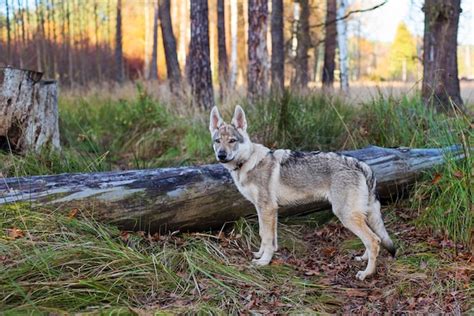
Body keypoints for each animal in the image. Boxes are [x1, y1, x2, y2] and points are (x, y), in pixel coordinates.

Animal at [211, 107, 396, 282]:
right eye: (218, 141)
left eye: (232, 141)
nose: (221, 155)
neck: (248, 162)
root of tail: (361, 164)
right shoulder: (267, 209)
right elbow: (266, 235)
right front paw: (261, 254)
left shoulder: (267, 208)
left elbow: (267, 238)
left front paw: (264, 262)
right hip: (360, 214)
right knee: (373, 239)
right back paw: (363, 258)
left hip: (346, 215)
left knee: (374, 241)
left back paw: (366, 273)